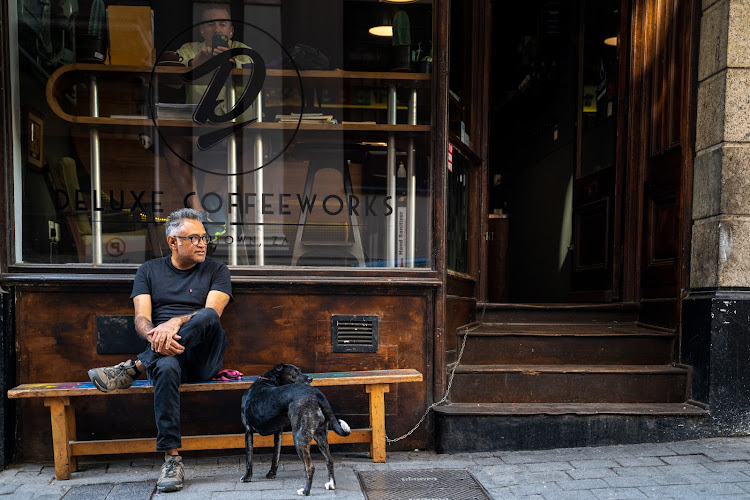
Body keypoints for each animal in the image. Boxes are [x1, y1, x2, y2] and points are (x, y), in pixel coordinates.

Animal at [242, 364, 354, 496]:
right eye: (295, 372)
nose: (310, 378)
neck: (270, 380)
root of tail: (316, 393)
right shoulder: (278, 432)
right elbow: (276, 456)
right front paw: (272, 473)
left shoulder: (248, 431)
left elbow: (249, 458)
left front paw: (247, 477)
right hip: (320, 434)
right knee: (329, 460)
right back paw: (331, 485)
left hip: (299, 438)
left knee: (310, 467)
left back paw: (305, 491)